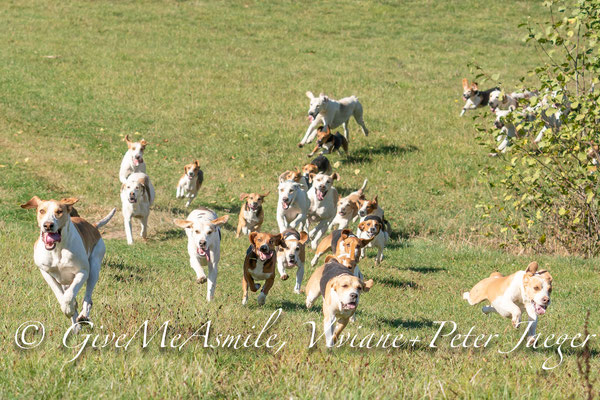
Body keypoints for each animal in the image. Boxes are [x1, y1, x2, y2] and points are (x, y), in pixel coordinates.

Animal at [20, 196, 116, 332]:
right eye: (42, 211)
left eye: (59, 211)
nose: (48, 225)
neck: (57, 250)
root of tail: (93, 226)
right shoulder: (45, 272)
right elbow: (60, 294)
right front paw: (68, 309)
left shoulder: (82, 272)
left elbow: (70, 295)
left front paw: (68, 308)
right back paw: (76, 326)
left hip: (94, 267)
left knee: (88, 298)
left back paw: (83, 316)